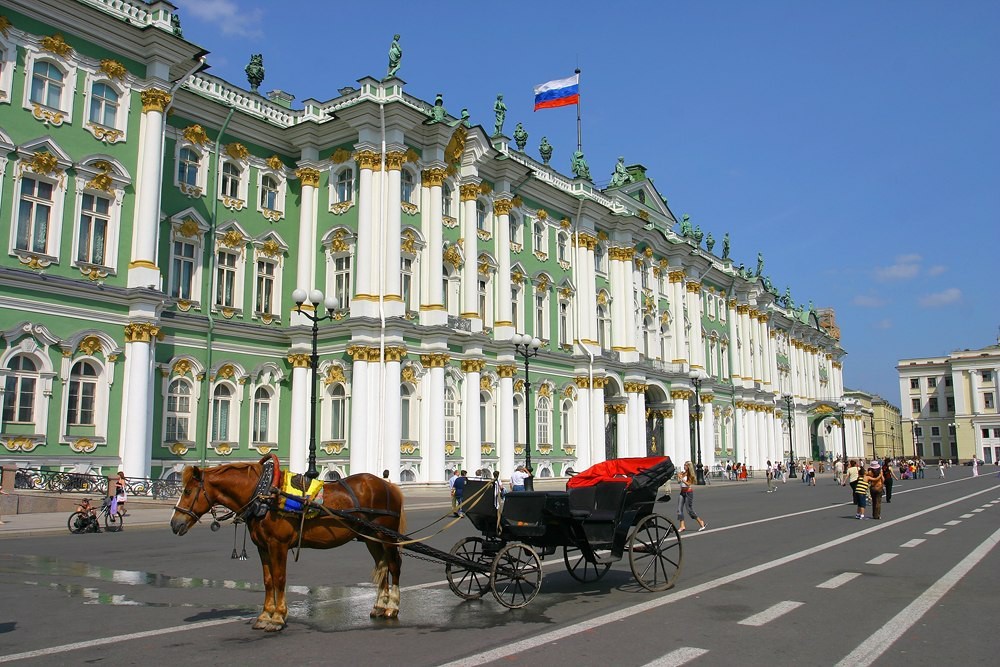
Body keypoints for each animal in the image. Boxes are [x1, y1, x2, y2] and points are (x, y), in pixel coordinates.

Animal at [169, 456, 406, 636]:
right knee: (382, 566)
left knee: (394, 566)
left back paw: (392, 607)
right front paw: (264, 616)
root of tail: (389, 485)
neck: (265, 494)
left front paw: (278, 618)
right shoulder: (262, 546)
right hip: (372, 539)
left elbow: (280, 579)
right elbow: (268, 581)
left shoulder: (278, 545)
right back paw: (379, 606)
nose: (174, 523)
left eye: (187, 492)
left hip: (386, 537)